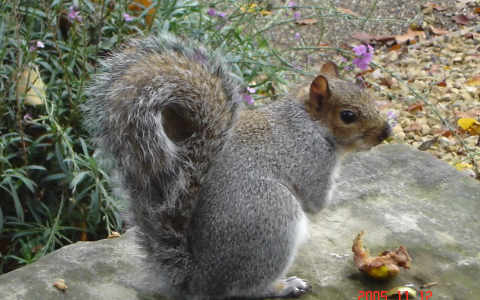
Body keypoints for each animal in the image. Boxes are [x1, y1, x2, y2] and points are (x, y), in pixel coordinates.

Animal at [82, 34, 390, 298]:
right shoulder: (311, 159)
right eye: (348, 116)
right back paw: (283, 286)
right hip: (273, 213)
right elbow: (317, 201)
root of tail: (199, 280)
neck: (308, 120)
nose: (386, 132)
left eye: (368, 95)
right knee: (245, 289)